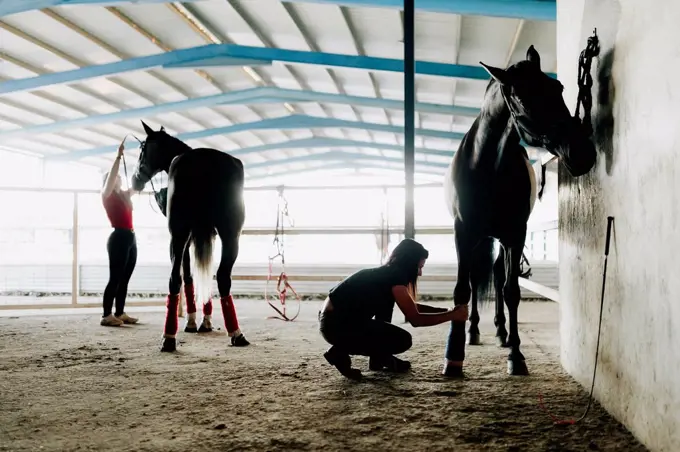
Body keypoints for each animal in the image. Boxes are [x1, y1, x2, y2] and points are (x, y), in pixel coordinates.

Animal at [131, 121, 251, 354]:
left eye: (142, 149)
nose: (134, 180)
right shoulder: (206, 233)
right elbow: (205, 273)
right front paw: (205, 321)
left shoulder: (187, 236)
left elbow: (188, 274)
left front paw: (194, 321)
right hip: (231, 235)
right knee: (223, 277)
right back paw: (236, 333)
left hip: (178, 234)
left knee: (175, 279)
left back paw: (169, 337)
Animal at [440, 46, 596, 378]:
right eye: (523, 98)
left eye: (558, 87)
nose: (582, 153)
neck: (488, 167)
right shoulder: (463, 232)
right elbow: (462, 289)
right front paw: (453, 356)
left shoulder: (515, 234)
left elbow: (511, 290)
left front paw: (516, 354)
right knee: (476, 279)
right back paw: (474, 331)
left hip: (500, 240)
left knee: (498, 276)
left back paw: (501, 332)